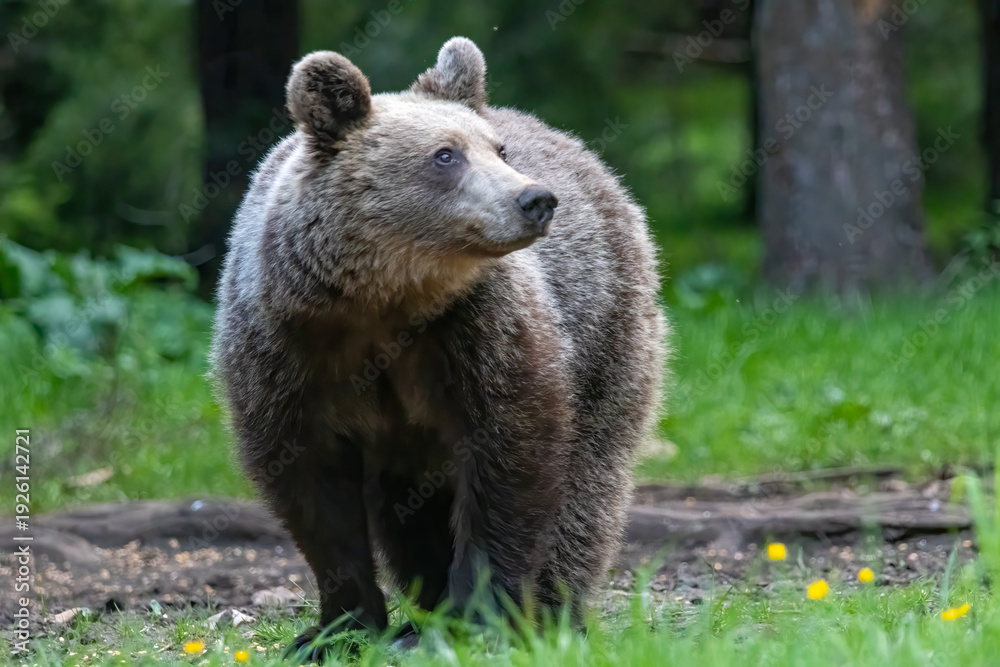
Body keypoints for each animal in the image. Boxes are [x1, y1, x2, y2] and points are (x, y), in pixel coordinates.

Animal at [211, 36, 666, 654]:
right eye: (445, 155)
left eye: (498, 149)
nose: (536, 199)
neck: (383, 301)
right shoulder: (286, 352)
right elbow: (310, 487)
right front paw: (335, 628)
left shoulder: (479, 335)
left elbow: (511, 461)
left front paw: (481, 619)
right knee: (410, 514)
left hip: (605, 329)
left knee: (587, 484)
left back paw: (549, 612)